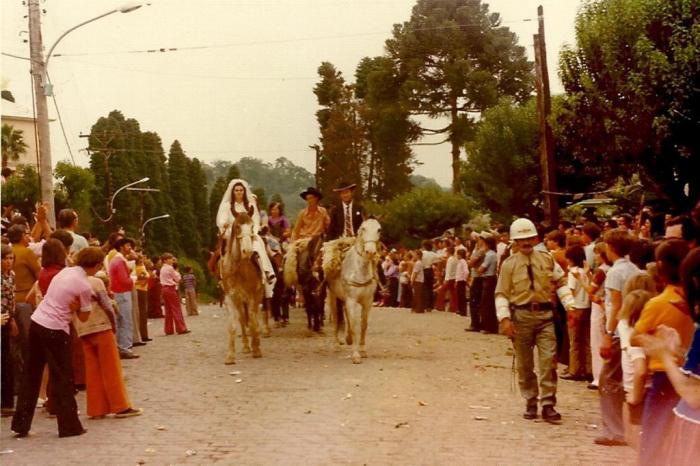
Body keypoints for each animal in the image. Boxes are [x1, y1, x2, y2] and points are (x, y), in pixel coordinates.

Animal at [220, 211, 264, 364]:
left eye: (251, 226)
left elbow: (253, 321)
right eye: (238, 227)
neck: (239, 269)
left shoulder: (252, 295)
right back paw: (246, 345)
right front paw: (230, 356)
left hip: (256, 296)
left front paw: (257, 349)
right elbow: (233, 325)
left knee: (253, 318)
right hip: (240, 301)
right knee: (242, 319)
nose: (247, 251)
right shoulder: (230, 297)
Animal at [324, 218, 382, 364]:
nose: (370, 252)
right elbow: (354, 325)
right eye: (363, 228)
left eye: (379, 229)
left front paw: (363, 350)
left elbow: (363, 325)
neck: (360, 270)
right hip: (333, 297)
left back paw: (348, 338)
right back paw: (336, 345)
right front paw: (356, 355)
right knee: (336, 319)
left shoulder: (368, 302)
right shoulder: (351, 300)